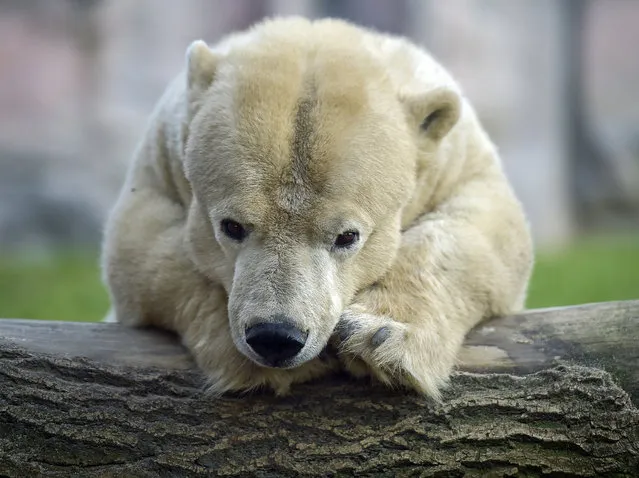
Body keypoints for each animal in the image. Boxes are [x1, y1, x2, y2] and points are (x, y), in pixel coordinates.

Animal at [102, 16, 536, 400]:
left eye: (347, 236)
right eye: (231, 226)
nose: (276, 338)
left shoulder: (458, 161)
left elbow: (488, 230)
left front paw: (378, 337)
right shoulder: (159, 164)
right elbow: (141, 249)